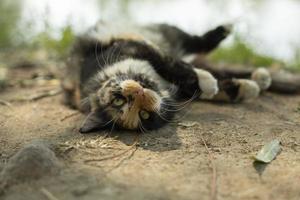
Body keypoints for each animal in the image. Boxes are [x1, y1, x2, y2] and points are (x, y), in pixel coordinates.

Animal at [62, 20, 272, 133]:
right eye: (144, 115)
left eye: (118, 100)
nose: (138, 93)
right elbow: (200, 85)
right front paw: (241, 89)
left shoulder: (132, 46)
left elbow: (168, 63)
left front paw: (207, 81)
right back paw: (258, 79)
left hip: (169, 33)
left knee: (197, 42)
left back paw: (225, 31)